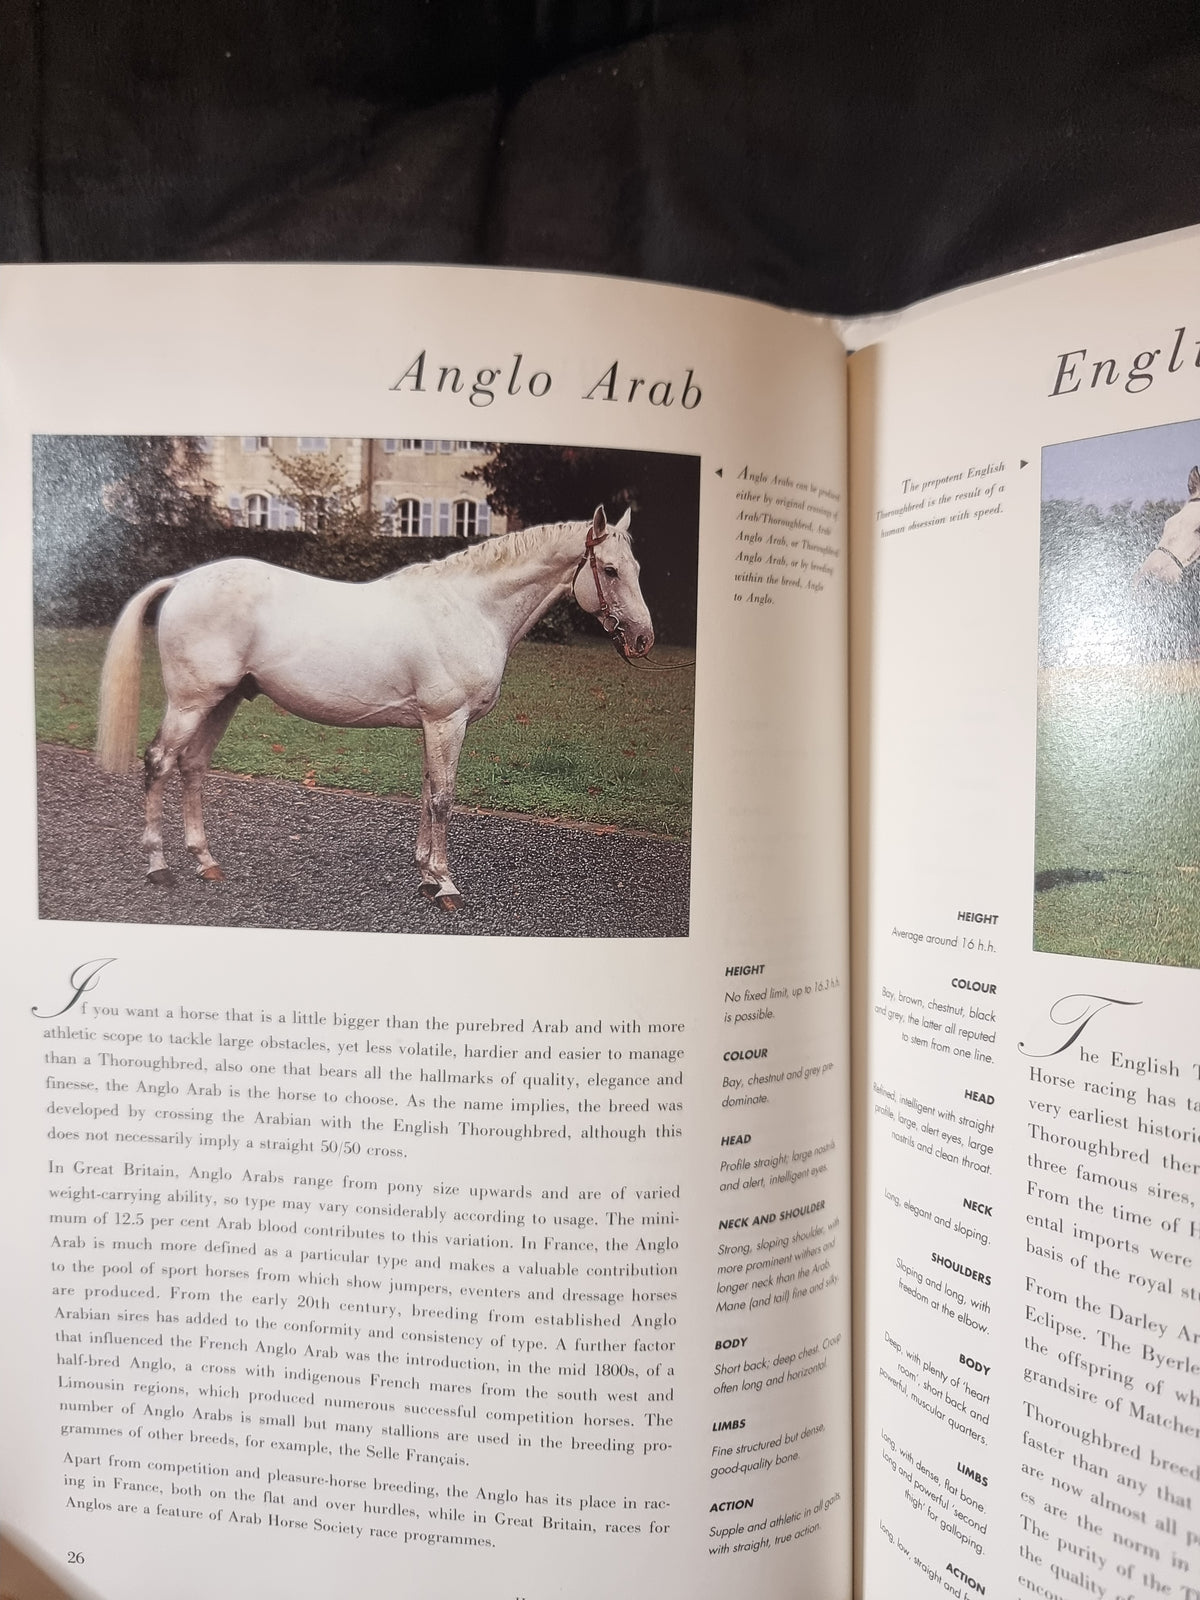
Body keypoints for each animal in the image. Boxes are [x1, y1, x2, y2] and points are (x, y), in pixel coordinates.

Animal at [95, 505, 654, 910]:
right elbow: (443, 798)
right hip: (192, 702)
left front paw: (426, 876)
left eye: (636, 568)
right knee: (160, 763)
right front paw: (446, 886)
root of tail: (183, 582)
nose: (644, 639)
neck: (469, 608)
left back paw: (206, 861)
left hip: (223, 702)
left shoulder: (433, 723)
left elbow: (428, 792)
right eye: (609, 570)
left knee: (192, 767)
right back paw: (159, 868)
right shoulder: (447, 720)